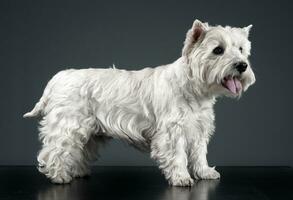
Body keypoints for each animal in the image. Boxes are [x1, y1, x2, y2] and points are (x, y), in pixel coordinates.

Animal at [24, 19, 254, 186]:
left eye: (241, 49)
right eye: (218, 50)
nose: (242, 65)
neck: (194, 89)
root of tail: (58, 78)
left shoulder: (199, 129)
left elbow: (199, 154)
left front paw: (205, 173)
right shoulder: (172, 131)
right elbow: (178, 155)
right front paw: (181, 178)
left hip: (91, 131)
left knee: (80, 150)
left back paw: (78, 172)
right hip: (69, 124)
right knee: (54, 149)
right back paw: (59, 176)